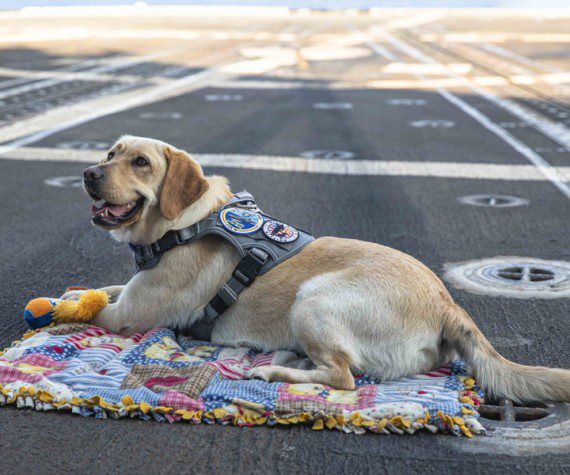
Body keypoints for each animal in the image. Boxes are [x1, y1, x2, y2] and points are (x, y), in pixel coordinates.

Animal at [63, 136, 568, 404]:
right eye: (109, 154)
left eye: (141, 162)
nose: (88, 173)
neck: (181, 224)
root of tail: (448, 304)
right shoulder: (130, 293)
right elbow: (99, 288)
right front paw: (76, 293)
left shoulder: (132, 315)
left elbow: (86, 309)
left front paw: (62, 309)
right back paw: (287, 361)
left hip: (314, 299)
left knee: (344, 377)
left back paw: (272, 374)